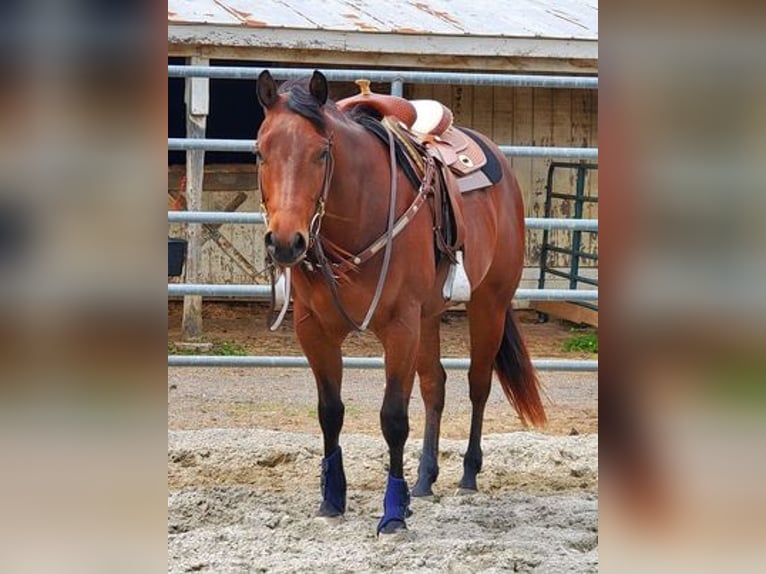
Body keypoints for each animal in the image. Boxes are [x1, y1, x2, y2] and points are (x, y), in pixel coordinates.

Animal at [256, 72, 544, 540]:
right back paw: (424, 480)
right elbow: (330, 412)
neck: (357, 214)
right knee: (435, 386)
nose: (285, 243)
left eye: (321, 153)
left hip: (489, 304)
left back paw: (468, 474)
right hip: (429, 317)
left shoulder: (399, 327)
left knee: (478, 384)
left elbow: (393, 417)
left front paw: (393, 512)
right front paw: (332, 500)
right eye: (260, 152)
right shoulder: (313, 329)